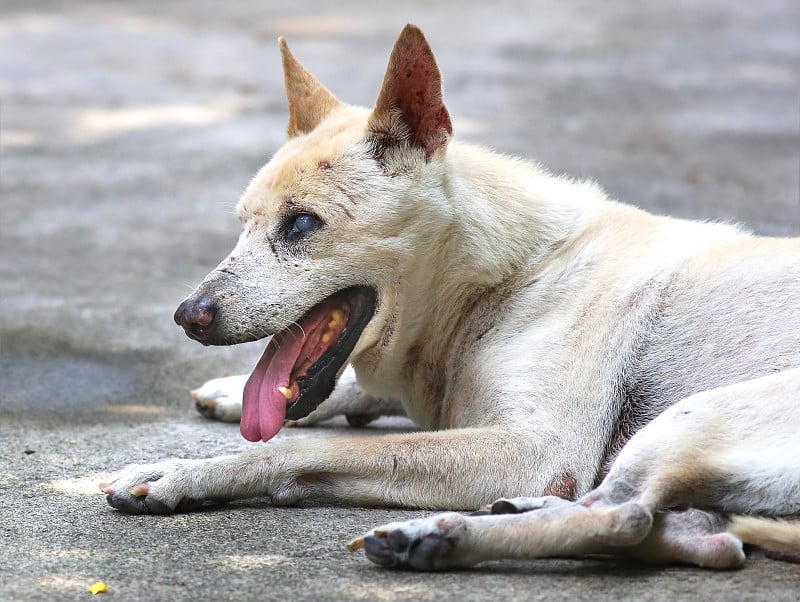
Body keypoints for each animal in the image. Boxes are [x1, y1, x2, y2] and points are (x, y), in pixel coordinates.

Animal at [101, 23, 800, 568]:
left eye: (300, 224)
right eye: (243, 223)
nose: (188, 316)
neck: (510, 273)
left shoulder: (534, 446)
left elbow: (303, 448)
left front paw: (180, 472)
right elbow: (361, 395)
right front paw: (227, 391)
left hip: (693, 415)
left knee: (622, 516)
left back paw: (439, 535)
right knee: (700, 537)